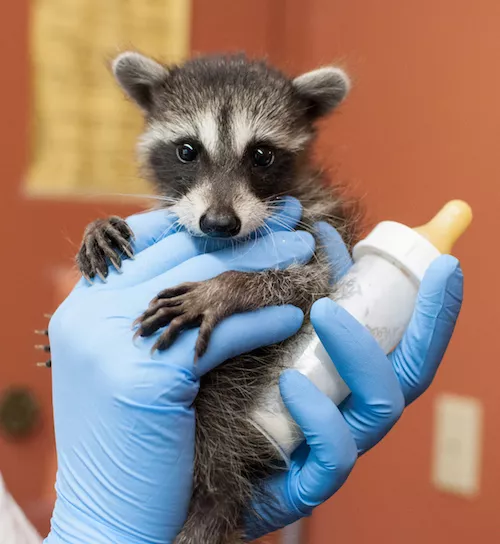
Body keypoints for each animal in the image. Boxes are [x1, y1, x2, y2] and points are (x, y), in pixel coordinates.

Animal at [76, 52, 362, 544]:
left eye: (262, 155)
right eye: (188, 150)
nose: (219, 223)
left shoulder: (316, 223)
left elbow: (308, 281)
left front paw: (227, 287)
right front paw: (98, 225)